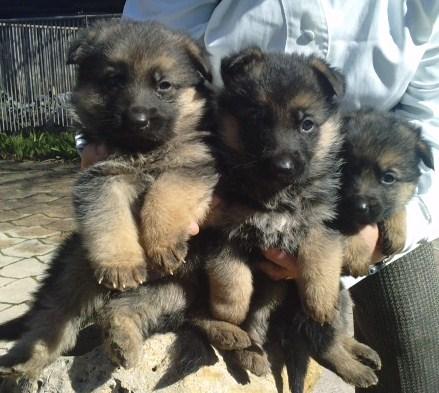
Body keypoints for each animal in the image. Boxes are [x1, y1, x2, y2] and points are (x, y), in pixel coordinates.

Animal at [0, 20, 217, 376]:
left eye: (164, 85)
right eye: (114, 81)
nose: (138, 119)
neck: (141, 152)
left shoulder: (190, 167)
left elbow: (166, 193)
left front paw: (162, 242)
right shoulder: (101, 178)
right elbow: (109, 216)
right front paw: (121, 263)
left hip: (174, 291)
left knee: (120, 309)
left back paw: (121, 341)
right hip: (75, 268)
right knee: (52, 318)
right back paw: (25, 359)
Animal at [336, 108, 434, 276]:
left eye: (388, 178)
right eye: (347, 169)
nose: (359, 207)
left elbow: (396, 205)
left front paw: (396, 230)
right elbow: (344, 221)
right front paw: (355, 254)